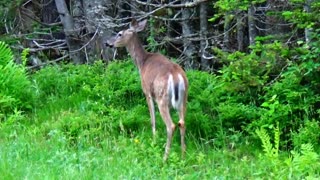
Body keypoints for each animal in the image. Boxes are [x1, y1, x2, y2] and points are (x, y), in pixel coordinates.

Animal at [105, 18, 188, 162]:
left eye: (119, 33)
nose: (107, 43)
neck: (142, 63)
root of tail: (176, 76)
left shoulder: (147, 92)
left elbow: (152, 120)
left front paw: (154, 141)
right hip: (184, 98)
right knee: (182, 123)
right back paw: (183, 156)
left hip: (162, 98)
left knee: (171, 125)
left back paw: (164, 158)